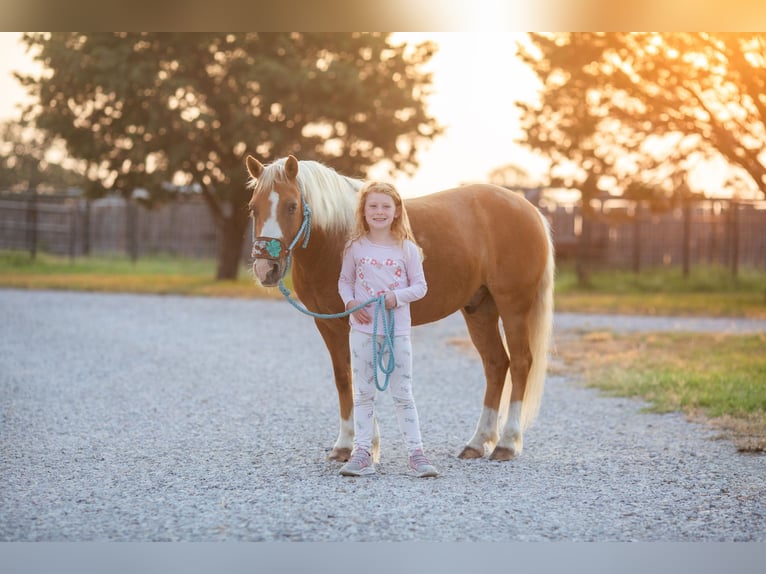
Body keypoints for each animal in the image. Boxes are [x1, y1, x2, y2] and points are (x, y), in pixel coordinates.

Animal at [249, 155, 556, 466]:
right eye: (253, 208)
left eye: (292, 206)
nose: (266, 269)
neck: (336, 238)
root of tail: (529, 210)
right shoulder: (329, 324)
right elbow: (344, 378)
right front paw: (346, 446)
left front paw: (364, 445)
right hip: (480, 309)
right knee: (495, 364)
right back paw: (477, 442)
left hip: (513, 306)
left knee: (520, 363)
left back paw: (506, 443)